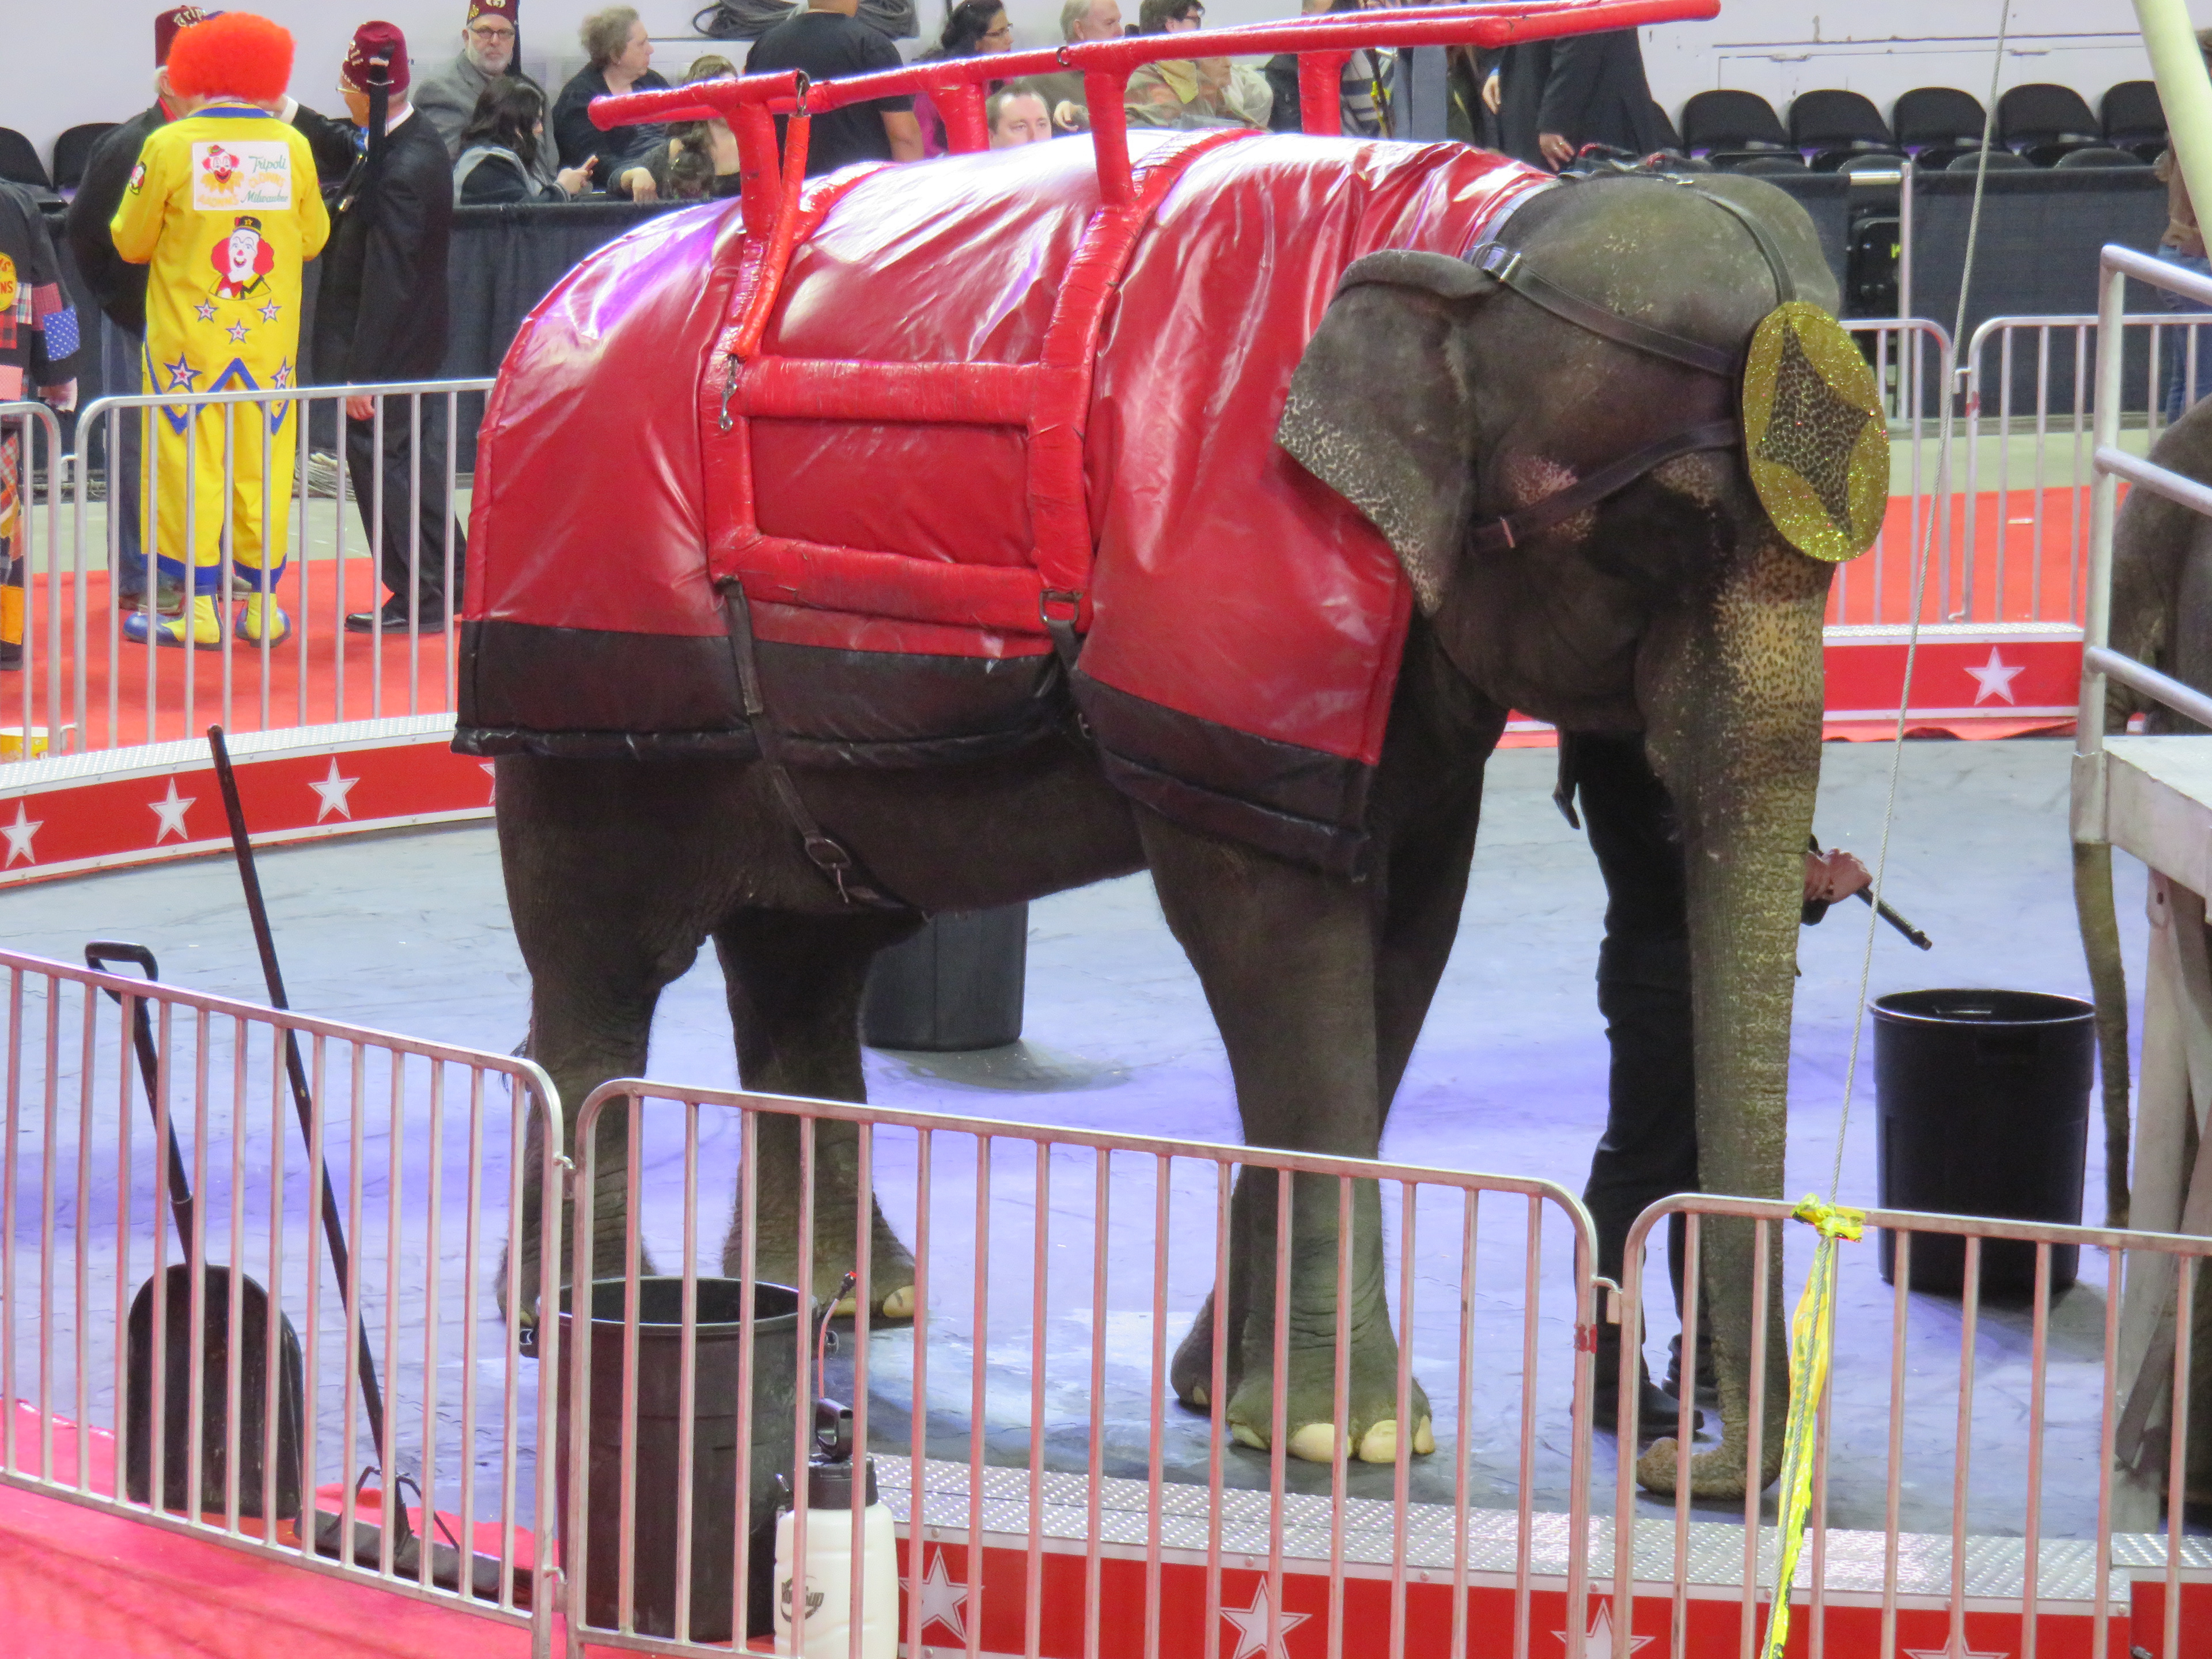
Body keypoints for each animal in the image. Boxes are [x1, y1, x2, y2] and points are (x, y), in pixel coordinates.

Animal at [484, 162, 1849, 1504]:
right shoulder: (1243, 609)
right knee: (601, 971)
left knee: (803, 963)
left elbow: (1405, 943)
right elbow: (1281, 949)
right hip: (584, 706)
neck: (1470, 234)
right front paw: (1345, 1437)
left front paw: (1225, 1394)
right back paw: (578, 1316)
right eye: (1667, 534)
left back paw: (839, 1297)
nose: (1684, 1455)